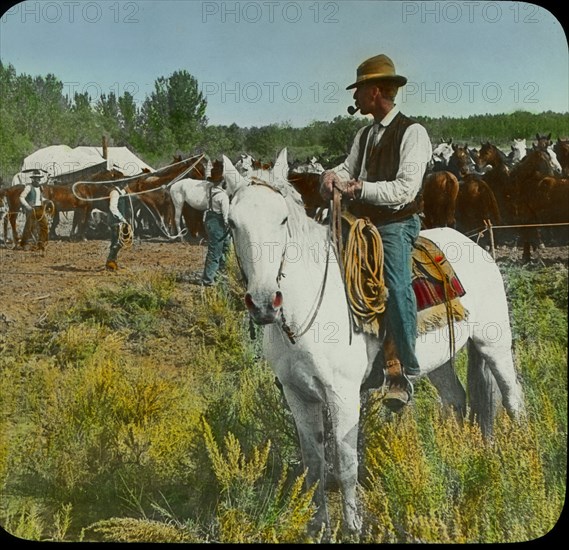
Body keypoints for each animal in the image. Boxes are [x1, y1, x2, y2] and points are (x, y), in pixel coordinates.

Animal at [221, 149, 524, 536]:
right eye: (232, 223)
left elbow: (346, 463)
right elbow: (314, 464)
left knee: (513, 398)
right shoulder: (298, 395)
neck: (305, 310)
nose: (263, 302)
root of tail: (477, 246)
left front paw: (353, 527)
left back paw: (521, 452)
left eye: (283, 219)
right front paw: (317, 525)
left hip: (493, 345)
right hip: (437, 362)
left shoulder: (343, 394)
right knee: (457, 400)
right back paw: (452, 457)